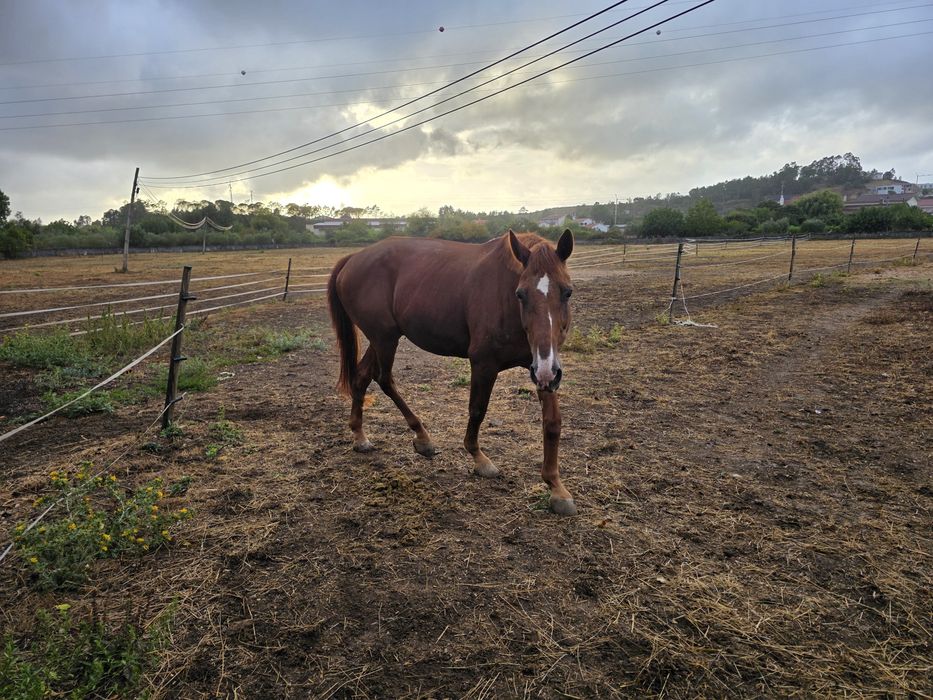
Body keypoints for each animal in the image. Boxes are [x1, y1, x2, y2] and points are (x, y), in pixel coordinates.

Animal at [327, 229, 577, 515]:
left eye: (567, 292)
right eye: (520, 294)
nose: (547, 371)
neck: (505, 297)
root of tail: (353, 258)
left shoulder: (542, 368)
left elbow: (552, 423)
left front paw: (556, 488)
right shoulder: (484, 363)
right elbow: (477, 410)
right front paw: (479, 459)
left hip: (382, 338)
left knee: (361, 377)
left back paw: (360, 436)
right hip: (384, 338)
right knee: (384, 379)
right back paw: (422, 437)